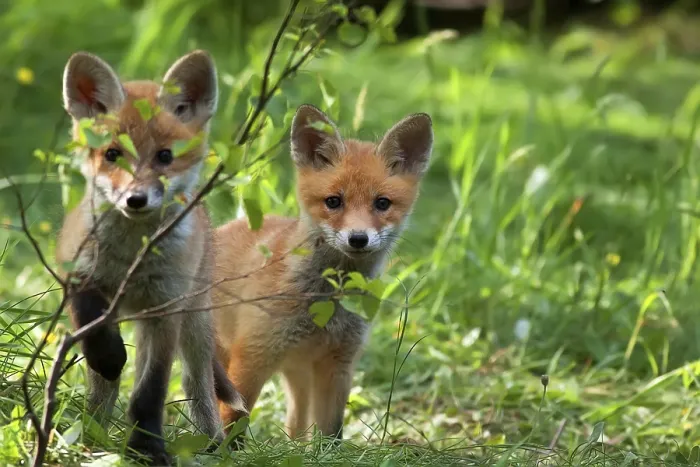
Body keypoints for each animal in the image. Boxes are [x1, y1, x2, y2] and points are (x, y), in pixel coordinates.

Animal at [56, 50, 243, 465]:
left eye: (165, 157)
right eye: (112, 154)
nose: (135, 199)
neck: (132, 258)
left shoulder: (165, 307)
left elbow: (150, 390)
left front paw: (146, 448)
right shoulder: (79, 273)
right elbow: (94, 333)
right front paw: (110, 357)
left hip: (194, 323)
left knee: (198, 384)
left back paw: (213, 443)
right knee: (103, 390)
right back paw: (92, 432)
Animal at [212, 104, 433, 441]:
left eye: (382, 203)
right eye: (333, 201)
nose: (358, 238)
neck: (326, 304)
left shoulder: (339, 364)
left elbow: (331, 433)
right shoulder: (253, 355)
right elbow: (232, 422)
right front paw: (219, 450)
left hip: (299, 373)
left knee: (296, 425)